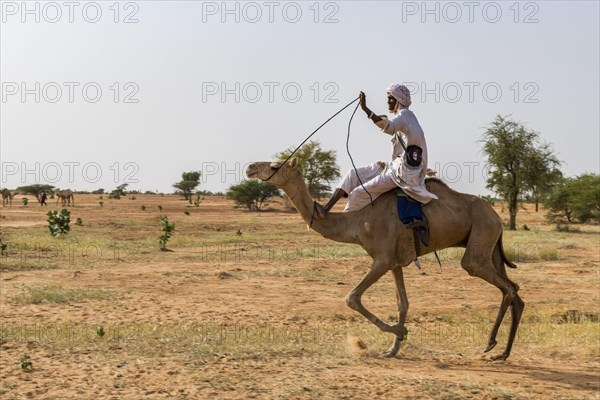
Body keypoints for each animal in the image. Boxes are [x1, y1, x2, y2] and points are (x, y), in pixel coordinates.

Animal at [246, 159, 524, 360]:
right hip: (490, 247)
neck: (357, 222)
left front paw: (399, 333)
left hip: (480, 241)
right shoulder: (394, 262)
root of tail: (496, 216)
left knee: (503, 284)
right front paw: (393, 348)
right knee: (514, 292)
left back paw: (490, 344)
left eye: (275, 166)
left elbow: (352, 298)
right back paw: (503, 353)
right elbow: (403, 303)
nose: (250, 167)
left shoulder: (381, 259)